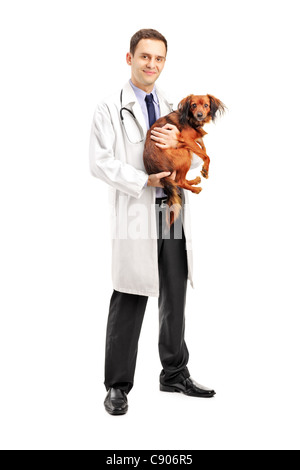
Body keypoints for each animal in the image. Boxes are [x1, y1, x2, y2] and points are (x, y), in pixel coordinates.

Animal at [143, 94, 225, 226]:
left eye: (206, 105)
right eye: (193, 105)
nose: (200, 115)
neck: (191, 119)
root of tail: (154, 169)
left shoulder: (195, 139)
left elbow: (204, 148)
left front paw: (204, 168)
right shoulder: (187, 139)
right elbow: (206, 155)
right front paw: (205, 169)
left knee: (180, 180)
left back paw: (193, 181)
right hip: (185, 154)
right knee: (179, 181)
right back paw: (195, 189)